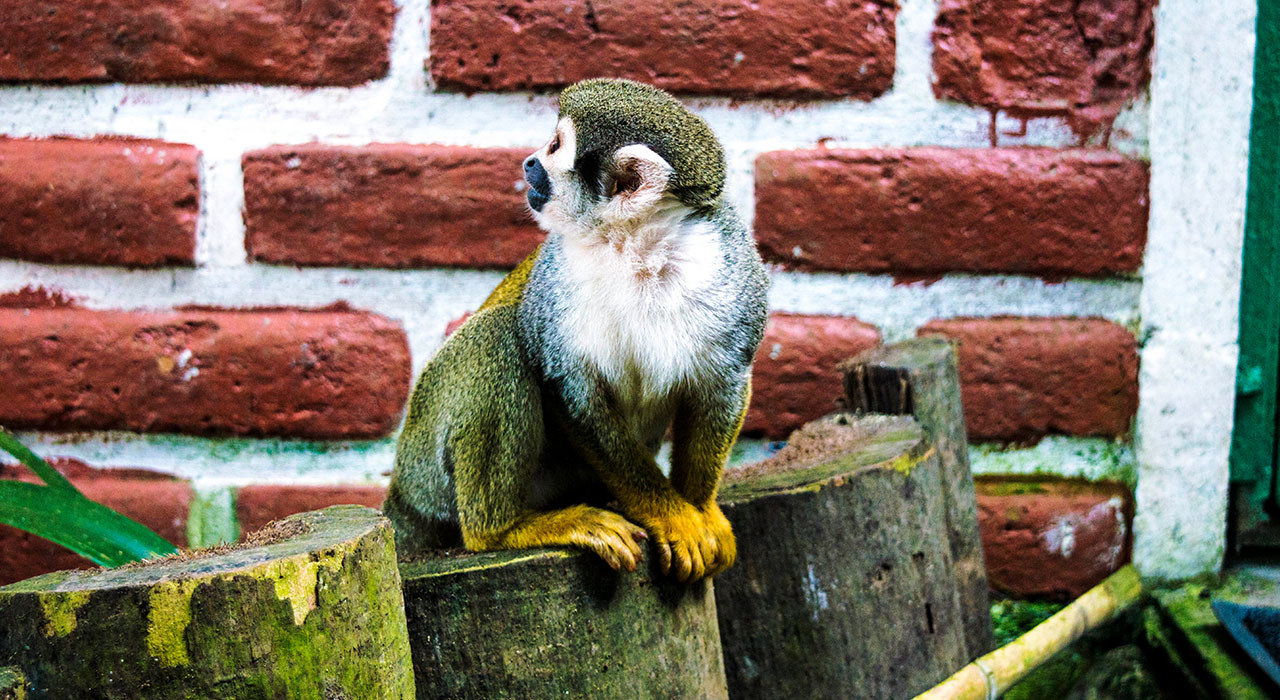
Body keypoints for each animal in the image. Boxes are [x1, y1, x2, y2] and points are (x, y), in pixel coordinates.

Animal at [383, 78, 768, 583]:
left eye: (553, 147)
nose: (529, 162)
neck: (636, 249)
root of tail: (398, 500)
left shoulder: (733, 273)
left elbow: (722, 385)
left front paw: (699, 509)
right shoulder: (555, 279)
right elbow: (573, 392)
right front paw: (673, 514)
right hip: (425, 468)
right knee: (498, 334)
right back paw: (502, 530)